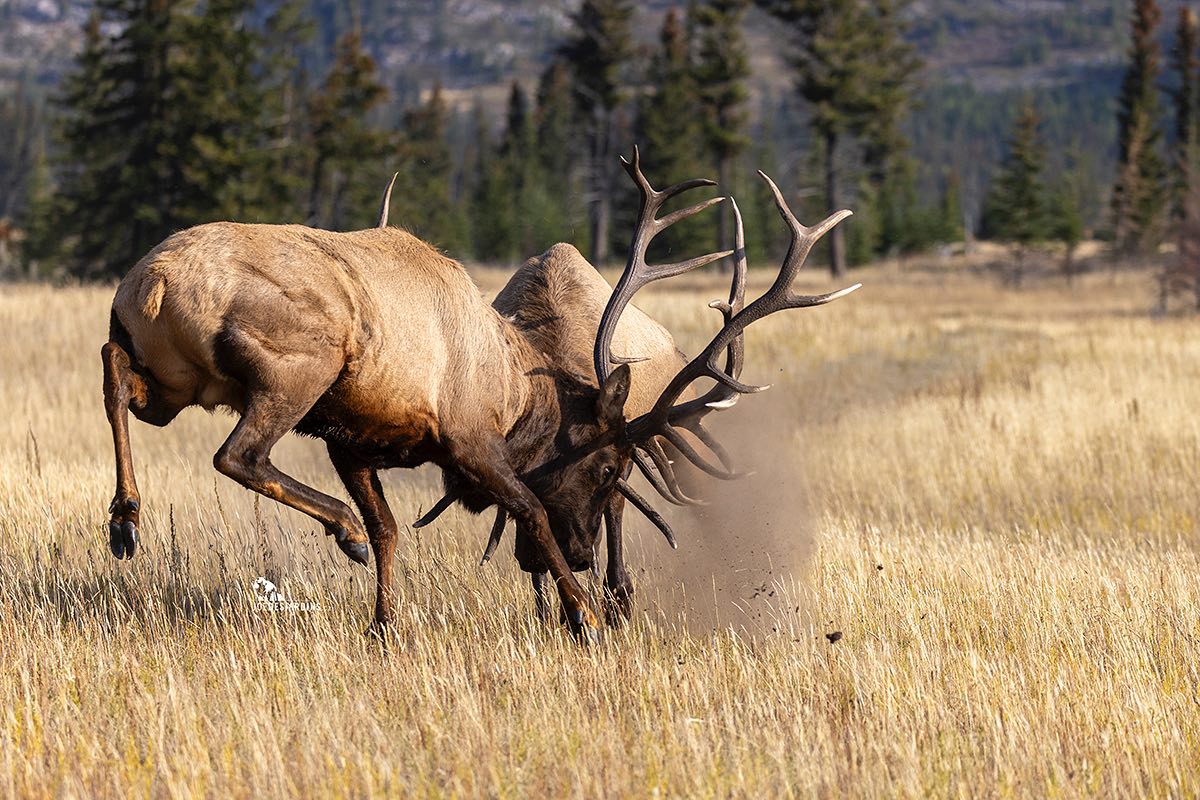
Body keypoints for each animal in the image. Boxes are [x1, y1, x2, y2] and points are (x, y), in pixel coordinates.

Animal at [101, 148, 857, 641]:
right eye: (606, 468)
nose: (586, 555)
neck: (516, 393)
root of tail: (155, 280)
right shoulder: (465, 438)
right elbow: (530, 508)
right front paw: (583, 613)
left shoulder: (358, 440)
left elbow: (392, 528)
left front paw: (385, 628)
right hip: (295, 366)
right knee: (237, 454)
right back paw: (333, 527)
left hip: (174, 378)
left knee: (116, 374)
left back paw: (125, 519)